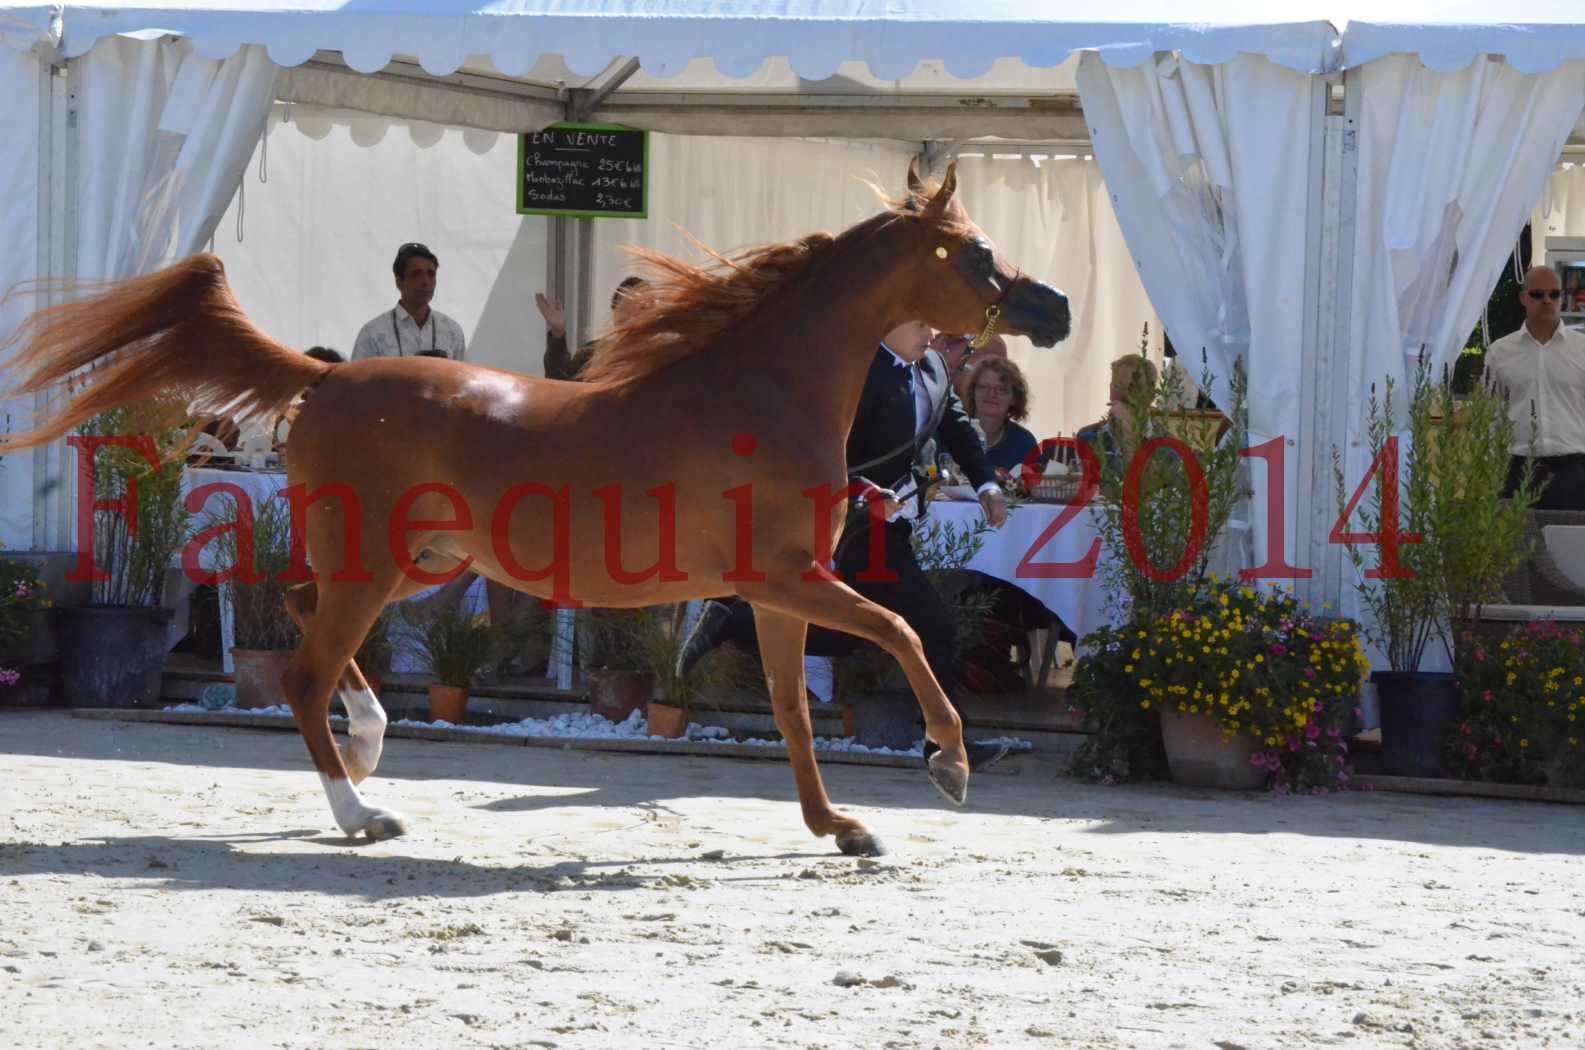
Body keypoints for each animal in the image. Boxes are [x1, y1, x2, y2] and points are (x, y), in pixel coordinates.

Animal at [0, 160, 1071, 862]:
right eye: (976, 254)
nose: (1055, 309)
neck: (759, 393)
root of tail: (324, 381)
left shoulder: (776, 593)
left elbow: (792, 712)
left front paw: (840, 828)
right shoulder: (789, 578)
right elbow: (902, 632)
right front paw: (947, 764)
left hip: (412, 564)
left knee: (304, 621)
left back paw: (372, 740)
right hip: (377, 564)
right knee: (301, 670)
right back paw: (360, 814)